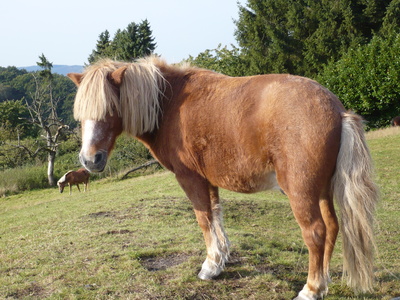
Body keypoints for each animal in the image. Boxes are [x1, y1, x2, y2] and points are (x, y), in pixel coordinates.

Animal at [68, 56, 378, 300]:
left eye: (110, 108)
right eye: (80, 116)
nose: (90, 160)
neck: (169, 104)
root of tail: (338, 111)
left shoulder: (190, 179)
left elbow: (204, 219)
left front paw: (209, 266)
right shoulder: (209, 181)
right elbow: (216, 216)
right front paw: (219, 261)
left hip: (302, 192)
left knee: (316, 232)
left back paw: (311, 289)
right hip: (322, 190)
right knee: (333, 227)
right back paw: (323, 282)